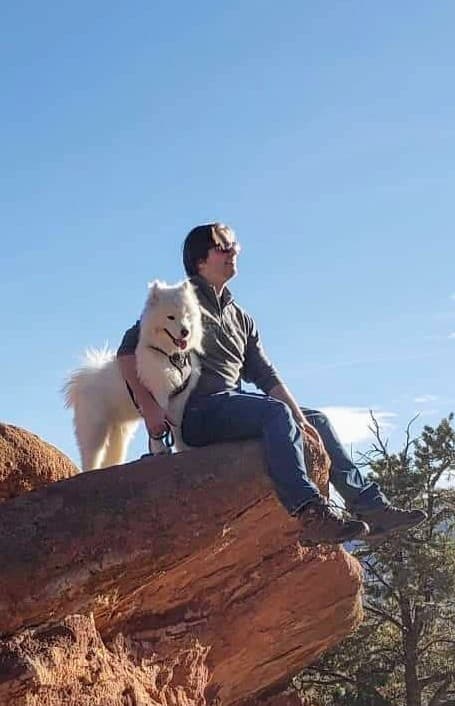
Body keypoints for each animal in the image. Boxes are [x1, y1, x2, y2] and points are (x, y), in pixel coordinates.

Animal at [63, 279, 203, 470]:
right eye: (170, 317)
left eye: (187, 315)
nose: (185, 332)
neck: (171, 356)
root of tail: (84, 377)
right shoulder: (157, 396)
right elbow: (158, 428)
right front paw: (160, 450)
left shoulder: (179, 399)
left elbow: (177, 428)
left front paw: (183, 448)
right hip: (95, 427)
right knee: (90, 455)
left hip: (120, 432)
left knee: (113, 455)